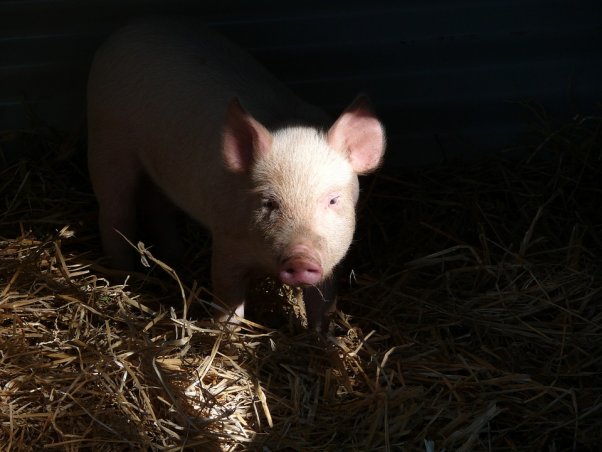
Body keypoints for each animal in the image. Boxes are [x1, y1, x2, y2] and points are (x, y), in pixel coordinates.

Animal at [86, 17, 382, 330]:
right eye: (269, 202)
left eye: (333, 200)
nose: (301, 259)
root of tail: (129, 28)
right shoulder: (226, 239)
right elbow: (227, 296)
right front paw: (226, 333)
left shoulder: (332, 257)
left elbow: (322, 302)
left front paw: (323, 337)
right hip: (106, 138)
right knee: (115, 211)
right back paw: (123, 275)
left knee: (158, 207)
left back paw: (175, 259)